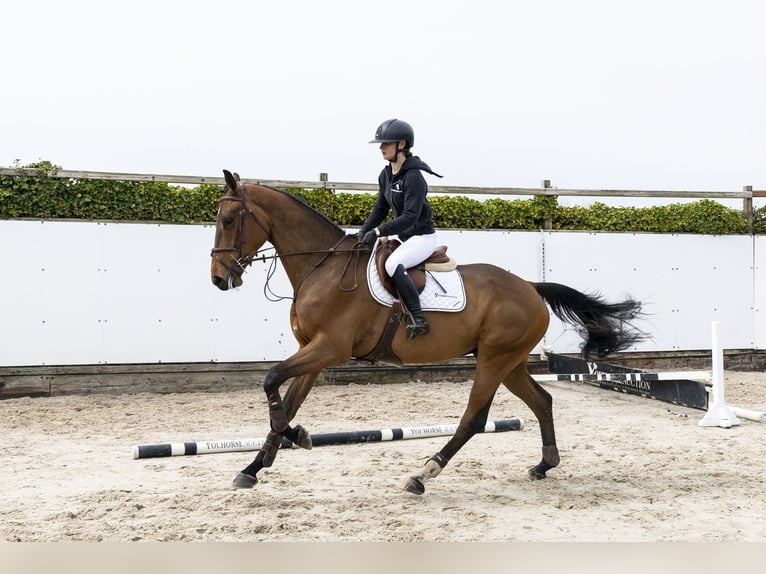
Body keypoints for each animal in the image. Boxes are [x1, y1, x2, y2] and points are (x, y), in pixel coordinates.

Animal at [210, 169, 645, 495]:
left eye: (229, 220)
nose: (218, 279)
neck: (323, 266)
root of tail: (530, 287)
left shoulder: (330, 348)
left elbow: (271, 379)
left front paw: (295, 437)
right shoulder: (312, 352)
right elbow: (286, 401)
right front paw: (255, 465)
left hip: (495, 359)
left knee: (475, 417)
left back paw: (424, 473)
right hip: (510, 361)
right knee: (542, 401)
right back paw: (543, 464)